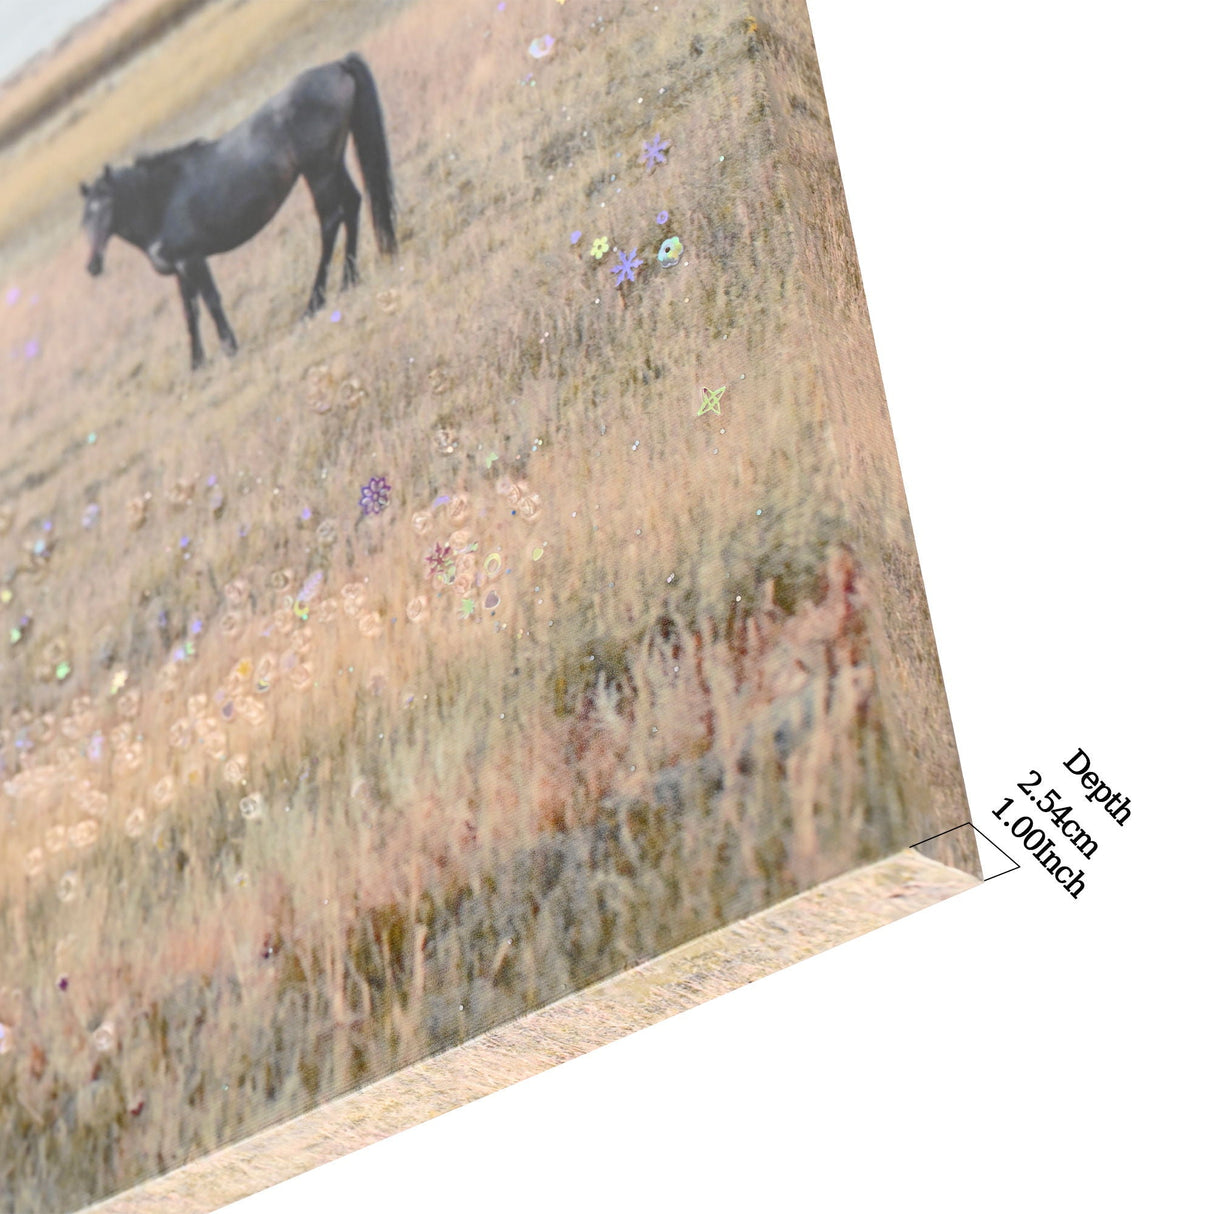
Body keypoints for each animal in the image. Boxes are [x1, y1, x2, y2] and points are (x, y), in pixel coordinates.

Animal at [79, 53, 397, 370]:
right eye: (85, 221)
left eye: (106, 205)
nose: (93, 266)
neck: (160, 199)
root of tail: (336, 65)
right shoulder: (179, 270)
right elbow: (189, 312)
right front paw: (197, 364)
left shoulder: (192, 260)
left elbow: (210, 301)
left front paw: (229, 347)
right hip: (333, 163)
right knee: (353, 205)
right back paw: (348, 280)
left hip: (318, 172)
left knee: (331, 222)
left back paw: (314, 303)